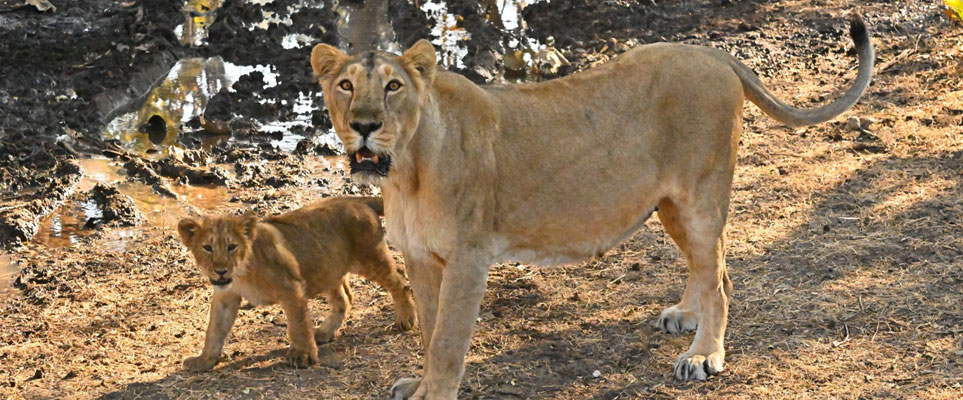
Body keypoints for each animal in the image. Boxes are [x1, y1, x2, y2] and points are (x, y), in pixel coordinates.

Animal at [177, 196, 416, 371]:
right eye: (207, 248)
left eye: (232, 247)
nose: (220, 271)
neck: (242, 273)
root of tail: (357, 200)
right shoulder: (226, 298)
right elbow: (215, 330)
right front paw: (204, 360)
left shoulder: (291, 287)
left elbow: (298, 325)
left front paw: (302, 355)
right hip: (327, 268)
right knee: (344, 299)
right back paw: (324, 333)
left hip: (370, 259)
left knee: (399, 281)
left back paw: (405, 319)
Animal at [310, 14, 873, 399]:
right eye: (345, 86)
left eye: (393, 86)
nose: (364, 125)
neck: (406, 171)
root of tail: (713, 53)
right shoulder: (422, 258)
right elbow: (429, 333)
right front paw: (420, 383)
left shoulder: (468, 258)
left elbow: (447, 340)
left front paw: (437, 392)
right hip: (670, 203)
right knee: (715, 270)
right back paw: (686, 316)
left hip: (700, 194)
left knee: (717, 280)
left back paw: (704, 355)